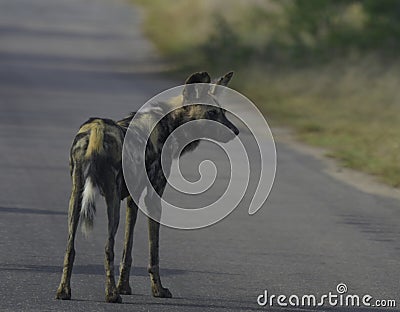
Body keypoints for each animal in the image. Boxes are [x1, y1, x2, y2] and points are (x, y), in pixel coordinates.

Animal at [54, 71, 239, 302]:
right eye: (212, 113)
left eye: (223, 112)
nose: (236, 131)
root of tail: (97, 126)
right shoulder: (154, 198)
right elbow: (154, 252)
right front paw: (158, 290)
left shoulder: (132, 200)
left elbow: (128, 249)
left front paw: (125, 286)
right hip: (111, 201)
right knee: (107, 247)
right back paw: (111, 294)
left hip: (77, 198)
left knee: (70, 248)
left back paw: (64, 290)